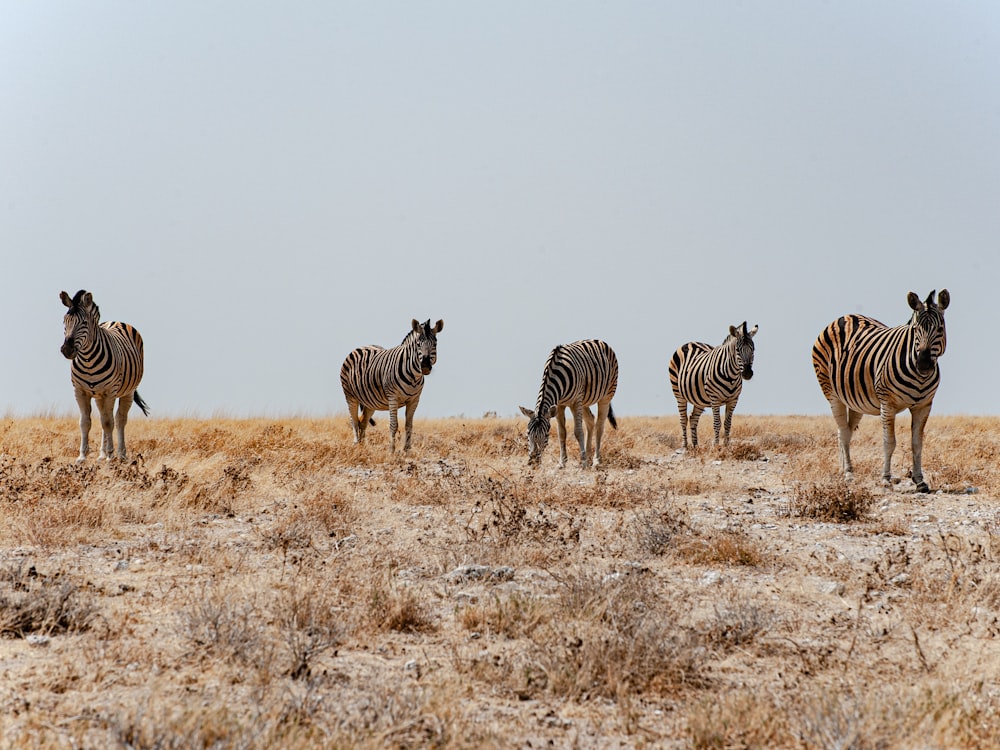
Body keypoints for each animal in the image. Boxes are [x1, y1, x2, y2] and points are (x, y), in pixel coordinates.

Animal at [59, 290, 148, 462]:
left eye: (84, 323)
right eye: (64, 321)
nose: (67, 349)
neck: (89, 361)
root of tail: (116, 321)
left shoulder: (110, 391)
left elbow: (108, 423)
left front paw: (111, 456)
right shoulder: (80, 391)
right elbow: (85, 422)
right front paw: (82, 457)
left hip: (127, 391)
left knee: (119, 420)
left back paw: (121, 454)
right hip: (99, 395)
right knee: (103, 417)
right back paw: (102, 454)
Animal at [340, 318, 442, 452]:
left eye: (435, 344)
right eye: (418, 344)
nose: (425, 366)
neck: (413, 377)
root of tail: (361, 347)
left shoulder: (414, 400)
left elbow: (409, 425)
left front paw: (407, 450)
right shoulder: (393, 397)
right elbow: (394, 425)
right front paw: (391, 450)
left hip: (370, 402)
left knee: (362, 422)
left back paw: (363, 448)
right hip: (350, 396)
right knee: (354, 421)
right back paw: (356, 445)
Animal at [516, 340, 616, 470]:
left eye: (546, 435)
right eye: (528, 433)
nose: (532, 463)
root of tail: (599, 341)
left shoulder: (575, 401)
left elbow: (578, 432)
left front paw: (583, 463)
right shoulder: (559, 405)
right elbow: (561, 433)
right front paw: (562, 463)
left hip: (606, 395)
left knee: (599, 426)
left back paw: (595, 461)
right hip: (584, 401)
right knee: (590, 420)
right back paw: (588, 456)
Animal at [668, 320, 760, 450]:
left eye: (753, 349)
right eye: (737, 350)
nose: (747, 374)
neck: (731, 376)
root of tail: (690, 342)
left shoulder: (733, 400)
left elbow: (727, 423)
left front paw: (727, 446)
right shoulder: (715, 399)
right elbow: (717, 423)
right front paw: (716, 446)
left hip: (699, 398)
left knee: (693, 418)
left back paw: (695, 446)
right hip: (678, 393)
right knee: (683, 419)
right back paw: (685, 446)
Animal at [808, 288, 948, 494]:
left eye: (940, 329)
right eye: (915, 329)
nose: (923, 364)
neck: (919, 376)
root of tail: (844, 316)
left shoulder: (924, 405)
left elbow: (917, 443)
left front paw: (920, 480)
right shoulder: (887, 404)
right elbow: (889, 442)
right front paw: (886, 479)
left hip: (856, 400)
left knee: (845, 432)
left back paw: (844, 468)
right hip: (832, 393)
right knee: (843, 431)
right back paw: (848, 473)